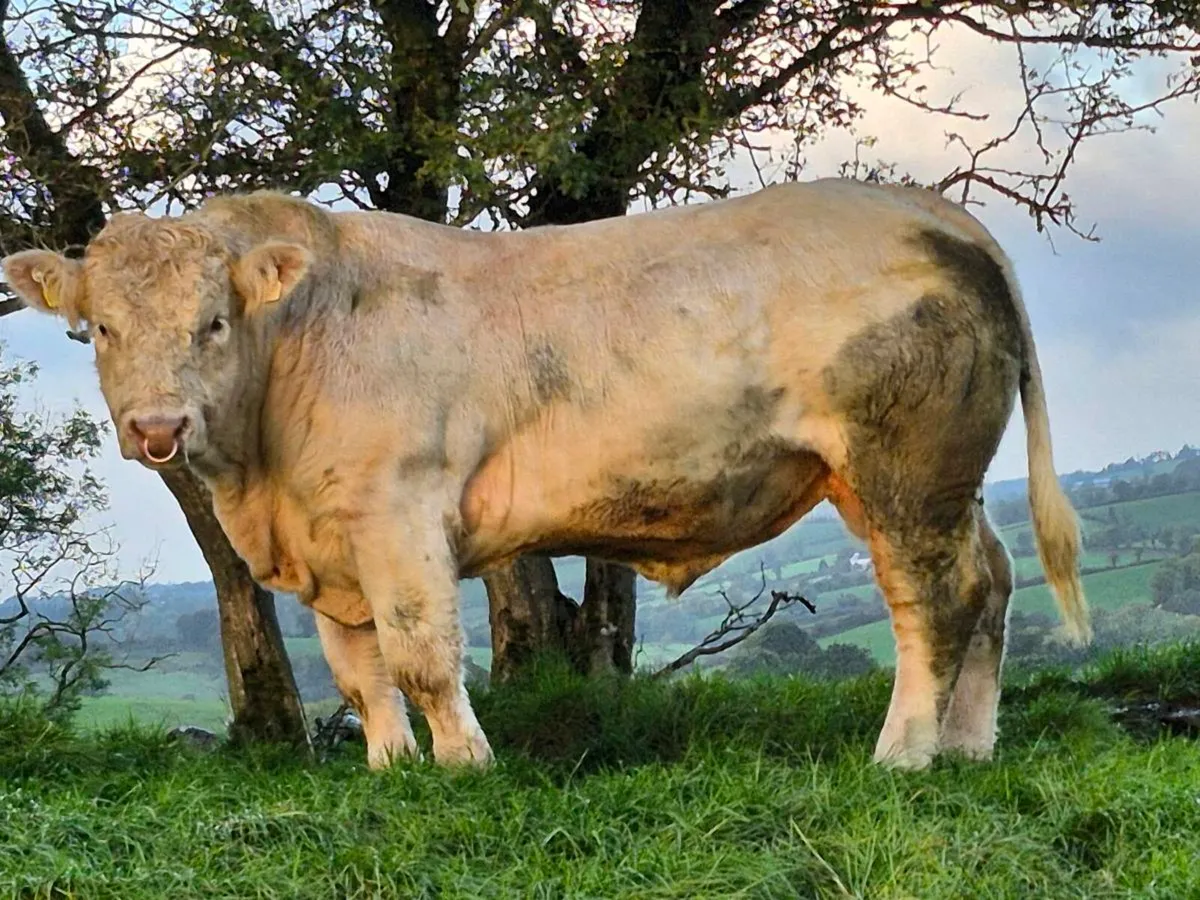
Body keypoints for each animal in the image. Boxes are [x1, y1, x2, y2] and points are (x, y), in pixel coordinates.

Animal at [2, 178, 1089, 772]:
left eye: (214, 322)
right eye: (100, 328)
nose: (156, 426)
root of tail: (920, 205)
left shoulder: (398, 510)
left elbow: (420, 655)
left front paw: (462, 766)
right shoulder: (329, 538)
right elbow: (358, 673)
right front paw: (391, 769)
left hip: (904, 466)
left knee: (932, 601)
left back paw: (902, 753)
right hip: (921, 478)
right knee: (991, 582)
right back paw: (969, 747)